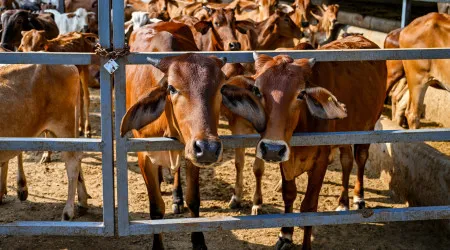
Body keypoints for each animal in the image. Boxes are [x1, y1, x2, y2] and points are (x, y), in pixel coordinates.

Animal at [120, 21, 260, 248]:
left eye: (221, 88)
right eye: (171, 88)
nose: (209, 148)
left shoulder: (193, 154)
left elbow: (194, 200)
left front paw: (199, 242)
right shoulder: (144, 156)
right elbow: (156, 209)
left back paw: (176, 198)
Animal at [220, 34, 384, 248]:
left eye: (300, 94)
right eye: (257, 90)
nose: (271, 148)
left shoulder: (320, 161)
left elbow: (309, 206)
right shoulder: (286, 158)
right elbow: (289, 194)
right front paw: (285, 234)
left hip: (368, 127)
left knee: (361, 158)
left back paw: (358, 198)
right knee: (347, 162)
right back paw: (342, 202)